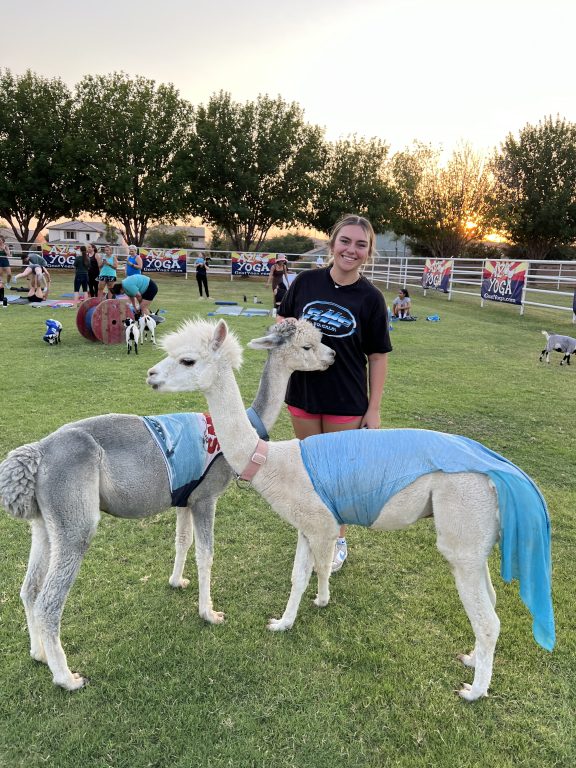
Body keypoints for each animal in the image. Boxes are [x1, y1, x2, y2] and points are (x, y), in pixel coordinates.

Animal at [0, 319, 335, 691]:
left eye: (318, 341)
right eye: (307, 347)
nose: (331, 356)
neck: (241, 433)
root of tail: (37, 453)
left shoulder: (184, 498)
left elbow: (182, 542)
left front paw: (177, 582)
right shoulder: (206, 497)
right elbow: (206, 554)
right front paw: (209, 613)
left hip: (44, 523)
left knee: (29, 589)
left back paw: (39, 653)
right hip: (74, 521)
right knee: (49, 601)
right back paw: (66, 678)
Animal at [147, 318, 555, 701]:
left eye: (187, 360)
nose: (150, 375)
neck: (271, 460)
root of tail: (500, 472)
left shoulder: (319, 523)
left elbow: (314, 568)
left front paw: (305, 609)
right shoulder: (307, 524)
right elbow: (300, 576)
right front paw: (286, 621)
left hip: (462, 532)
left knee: (488, 619)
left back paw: (474, 690)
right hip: (477, 543)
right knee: (492, 602)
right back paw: (472, 659)